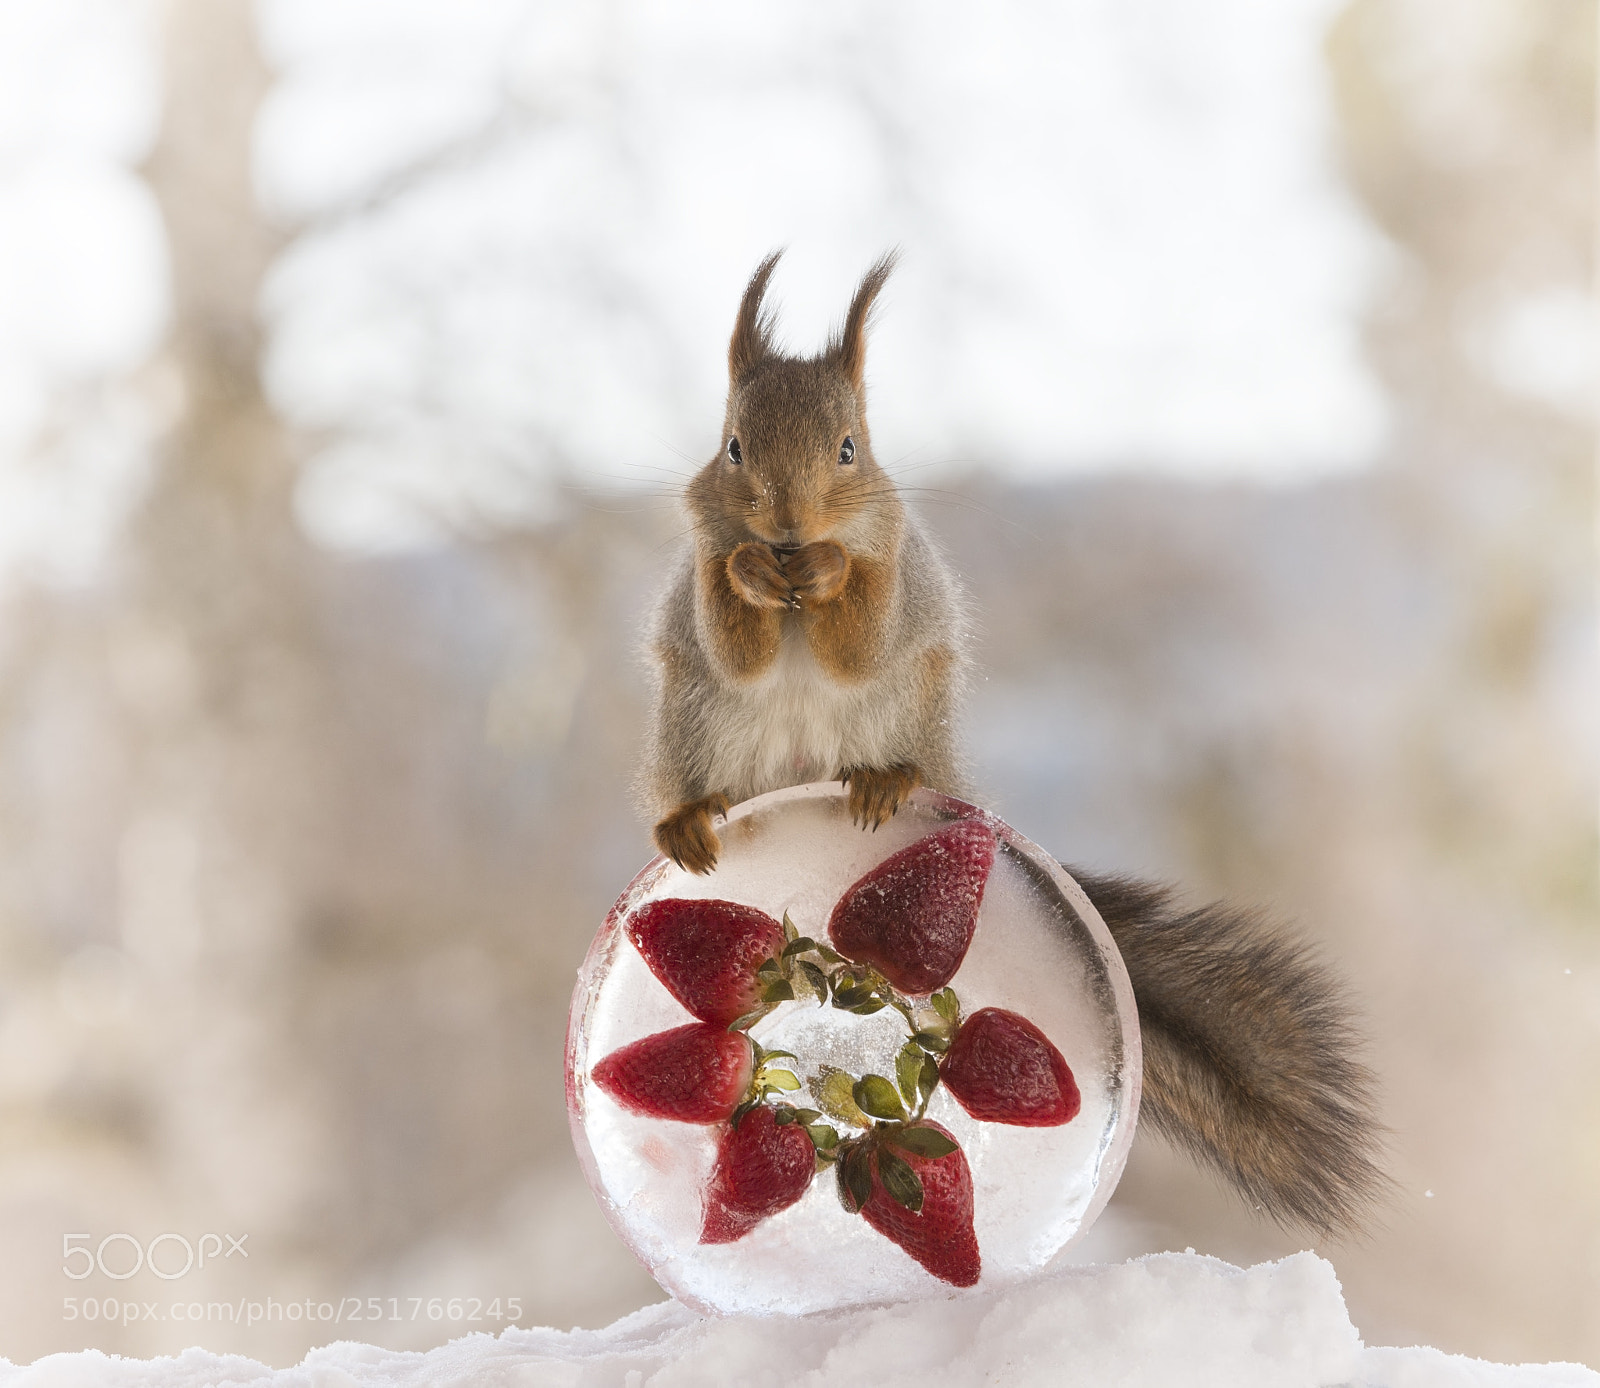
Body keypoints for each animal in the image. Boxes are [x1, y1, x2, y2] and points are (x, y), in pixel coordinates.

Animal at [638, 250, 1385, 1238]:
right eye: (731, 448)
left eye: (850, 449)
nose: (790, 532)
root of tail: (807, 785)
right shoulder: (705, 567)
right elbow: (735, 638)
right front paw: (753, 569)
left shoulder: (895, 567)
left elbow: (859, 636)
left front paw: (831, 569)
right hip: (696, 721)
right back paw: (693, 819)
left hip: (910, 712)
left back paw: (881, 783)